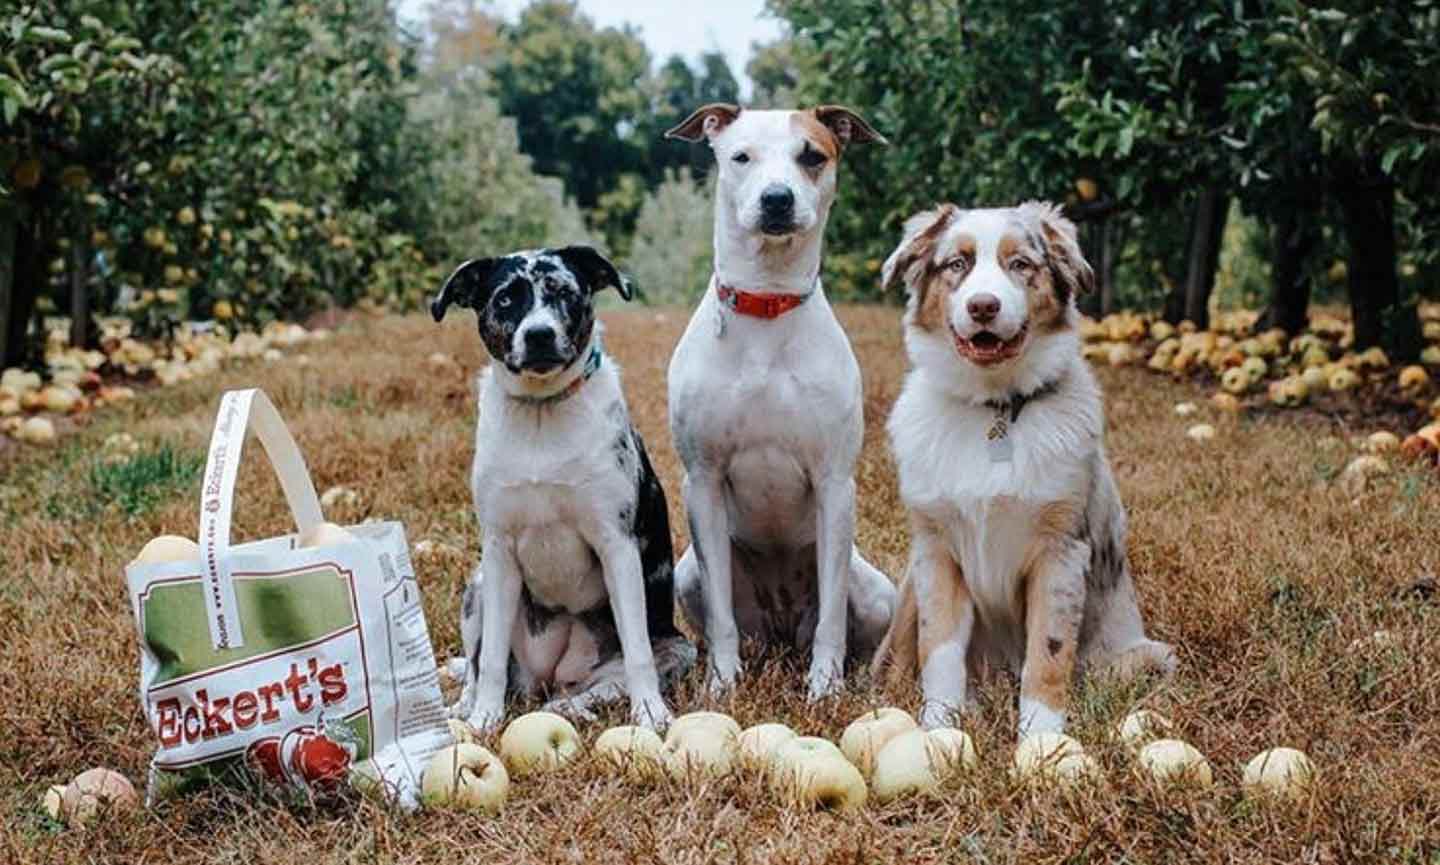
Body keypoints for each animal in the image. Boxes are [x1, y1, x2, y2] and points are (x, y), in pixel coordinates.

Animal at [429, 246, 694, 731]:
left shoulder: (617, 546)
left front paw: (651, 715)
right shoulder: (499, 551)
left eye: (565, 293)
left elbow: (638, 654)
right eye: (505, 298)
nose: (539, 335)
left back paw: (570, 707)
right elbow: (489, 661)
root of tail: (549, 676)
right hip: (478, 586)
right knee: (477, 667)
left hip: (677, 648)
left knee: (590, 690)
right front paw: (484, 720)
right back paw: (466, 708)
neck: (542, 412)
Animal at [668, 104, 892, 699]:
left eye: (811, 155)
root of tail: (782, 629)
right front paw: (721, 686)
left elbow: (834, 617)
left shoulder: (835, 483)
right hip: (686, 574)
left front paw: (825, 690)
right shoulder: (703, 480)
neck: (766, 303)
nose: (776, 199)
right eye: (741, 156)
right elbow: (721, 616)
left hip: (877, 593)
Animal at [869, 202, 1175, 734]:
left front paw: (1042, 738)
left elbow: (1047, 653)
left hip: (1147, 656)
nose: (983, 307)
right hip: (908, 580)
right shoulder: (936, 550)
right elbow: (938, 649)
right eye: (957, 264)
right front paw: (939, 727)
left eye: (1021, 264)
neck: (995, 408)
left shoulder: (1061, 551)